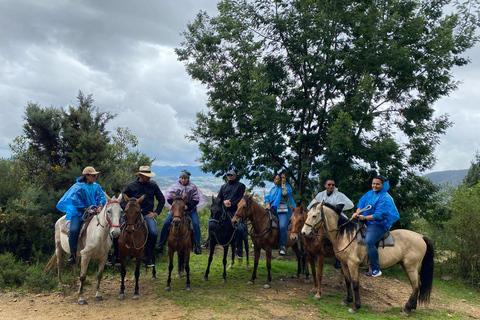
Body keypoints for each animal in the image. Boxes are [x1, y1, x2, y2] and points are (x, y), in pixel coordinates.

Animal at [304, 201, 436, 316]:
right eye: (307, 214)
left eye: (314, 215)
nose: (304, 232)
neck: (345, 235)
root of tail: (421, 236)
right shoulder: (344, 264)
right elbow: (348, 282)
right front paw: (347, 300)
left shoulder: (353, 264)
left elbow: (355, 284)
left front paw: (355, 306)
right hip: (405, 266)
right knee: (416, 285)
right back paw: (411, 307)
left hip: (411, 267)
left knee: (416, 286)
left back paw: (407, 309)